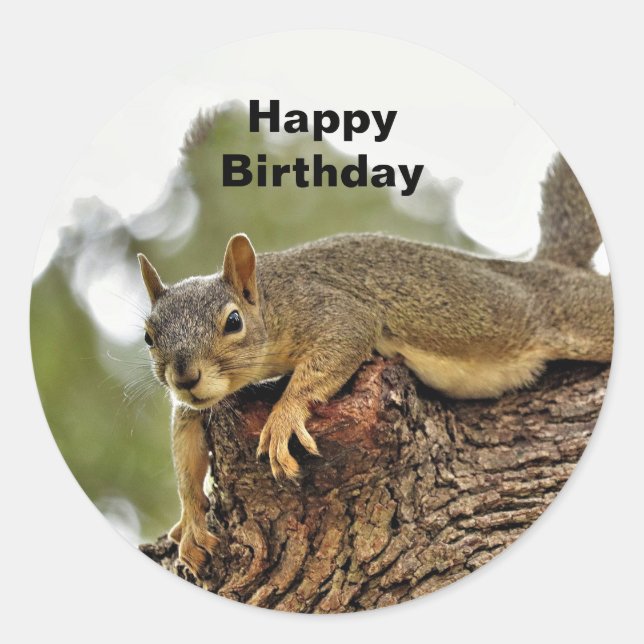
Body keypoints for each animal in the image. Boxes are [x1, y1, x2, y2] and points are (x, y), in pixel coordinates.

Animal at [137, 153, 613, 575]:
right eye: (148, 336)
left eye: (233, 321)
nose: (186, 376)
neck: (271, 299)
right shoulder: (198, 402)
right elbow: (187, 445)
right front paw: (191, 520)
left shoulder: (334, 310)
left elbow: (337, 348)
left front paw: (284, 415)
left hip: (577, 316)